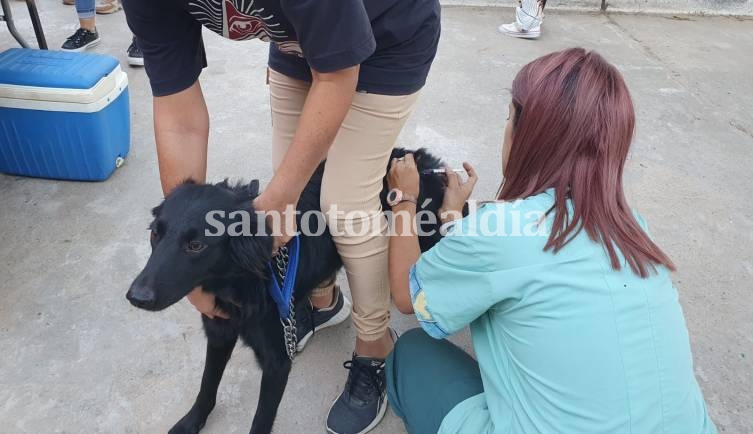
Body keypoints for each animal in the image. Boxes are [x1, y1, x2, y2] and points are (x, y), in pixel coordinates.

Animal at [126, 147, 450, 432]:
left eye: (195, 245)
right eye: (155, 233)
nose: (136, 297)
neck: (245, 279)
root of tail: (420, 159)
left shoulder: (277, 364)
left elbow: (260, 421)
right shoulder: (219, 332)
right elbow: (207, 386)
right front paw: (191, 422)